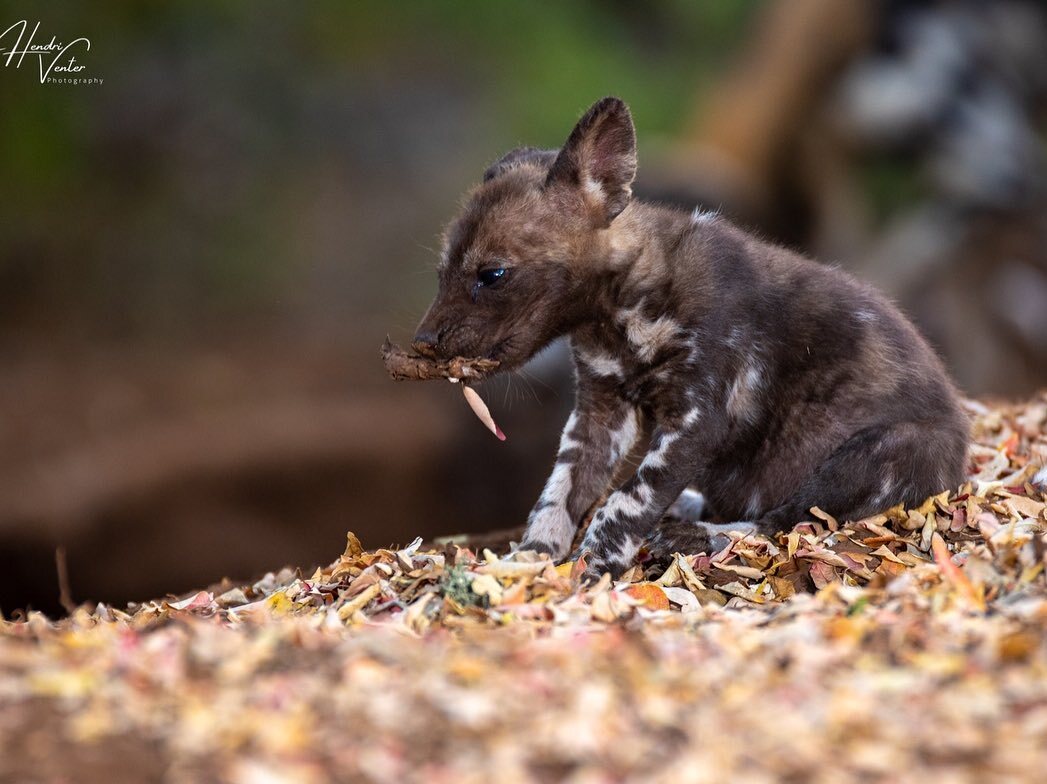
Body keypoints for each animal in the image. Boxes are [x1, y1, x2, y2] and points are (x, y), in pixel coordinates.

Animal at [412, 96, 967, 573]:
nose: (424, 341)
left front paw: (595, 568)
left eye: (492, 274)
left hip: (887, 453)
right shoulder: (599, 413)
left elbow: (625, 501)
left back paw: (695, 534)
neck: (621, 313)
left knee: (784, 522)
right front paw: (532, 564)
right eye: (440, 274)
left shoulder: (695, 420)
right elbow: (558, 495)